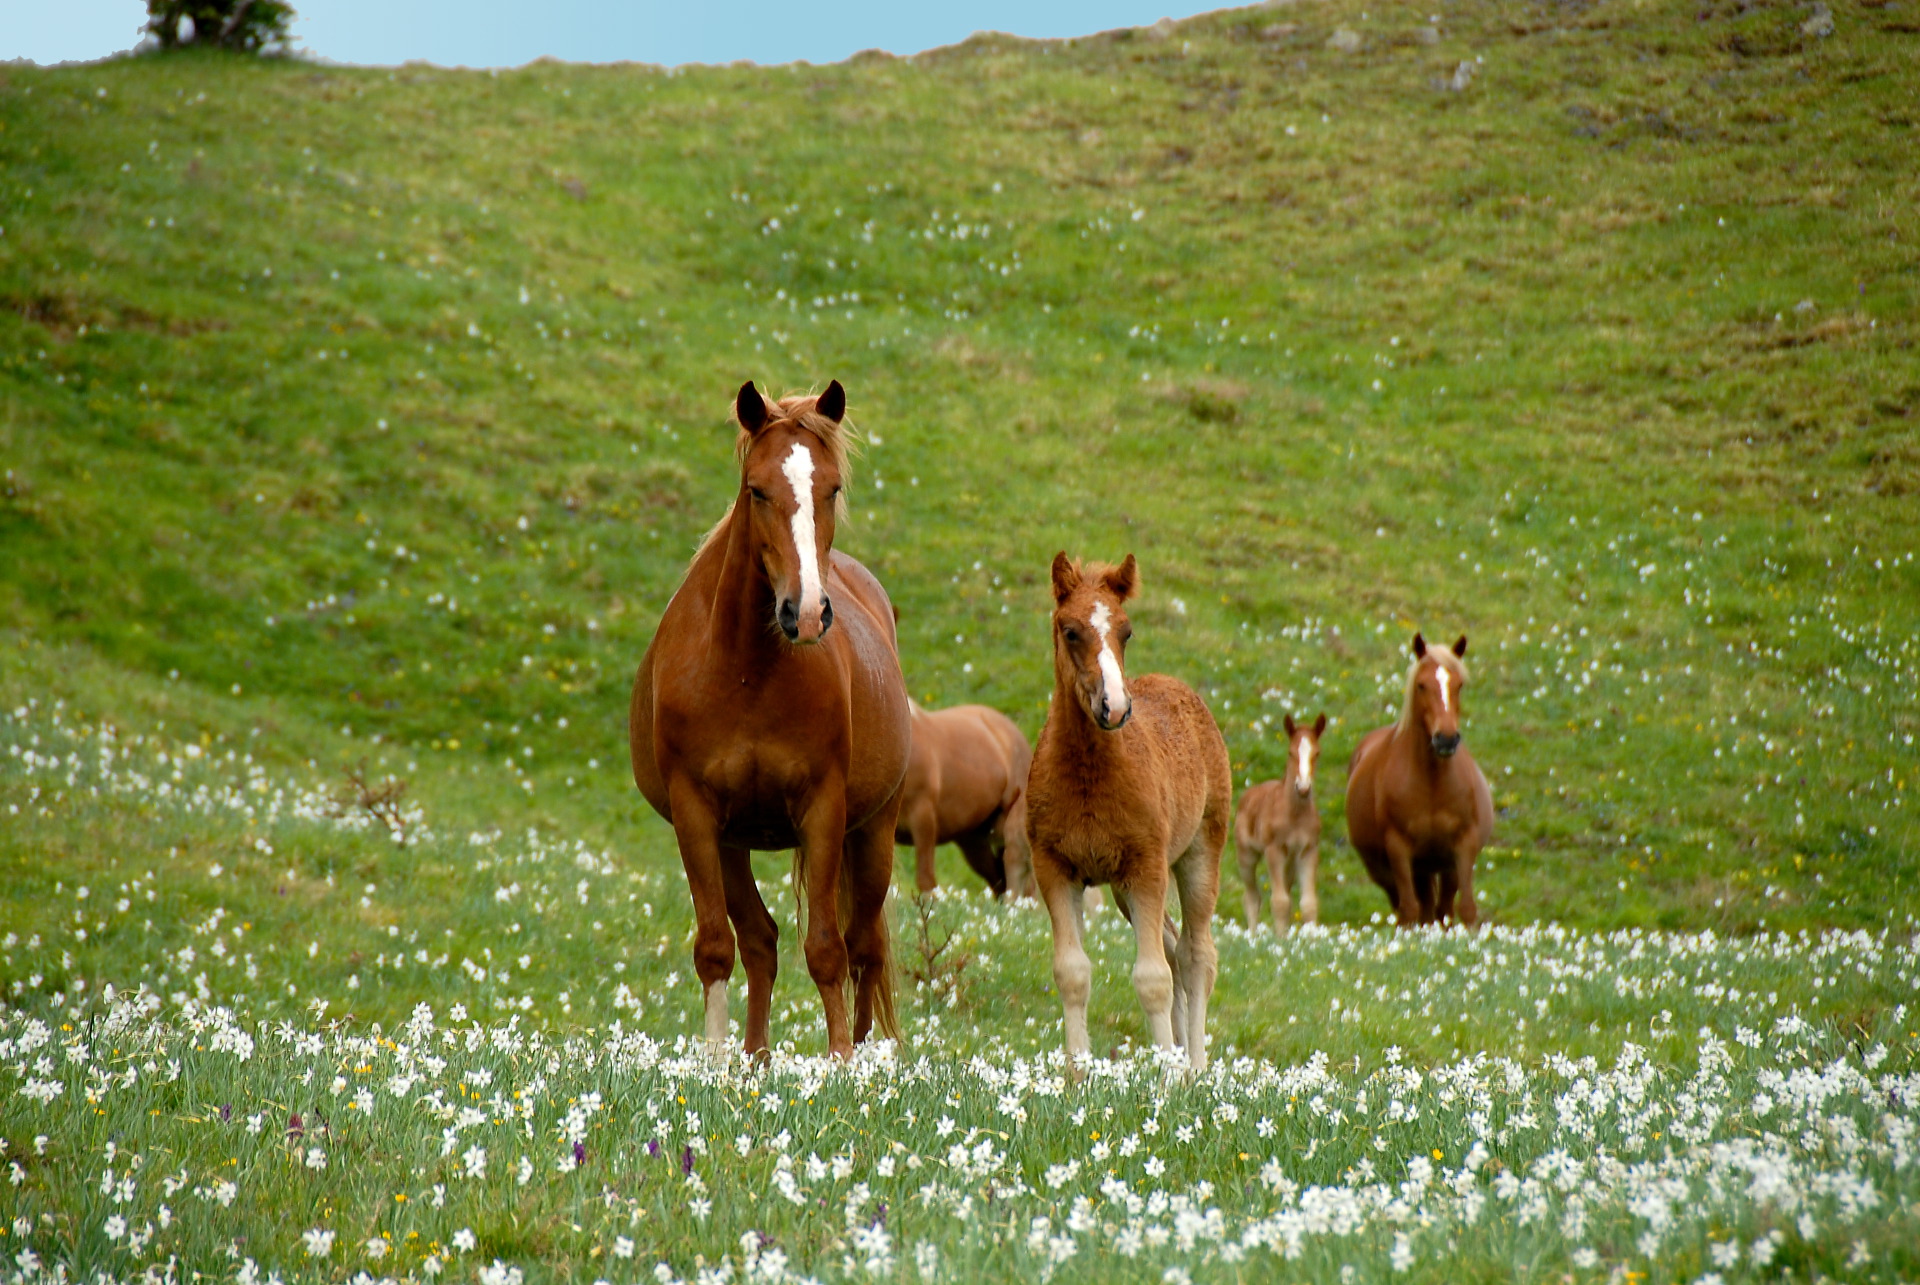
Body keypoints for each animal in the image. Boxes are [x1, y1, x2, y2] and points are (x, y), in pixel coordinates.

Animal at [622, 376, 906, 1060]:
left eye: (832, 488)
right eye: (757, 490)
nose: (805, 612)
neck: (747, 670)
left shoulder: (824, 809)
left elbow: (827, 950)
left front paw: (840, 1063)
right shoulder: (697, 815)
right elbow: (717, 947)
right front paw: (716, 1065)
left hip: (875, 831)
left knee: (864, 947)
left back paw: (861, 1055)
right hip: (733, 841)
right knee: (760, 942)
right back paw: (752, 1059)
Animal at [1021, 557, 1228, 1067]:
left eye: (1127, 631)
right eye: (1070, 631)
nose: (1114, 708)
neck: (1089, 775)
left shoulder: (1146, 867)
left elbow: (1152, 979)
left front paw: (1168, 1077)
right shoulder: (1055, 868)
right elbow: (1072, 972)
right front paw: (1075, 1076)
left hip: (1198, 853)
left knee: (1195, 955)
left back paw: (1195, 1067)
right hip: (1120, 887)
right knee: (1174, 947)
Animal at [1236, 706, 1328, 937]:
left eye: (1317, 753)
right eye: (1290, 752)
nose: (1303, 788)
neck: (1295, 815)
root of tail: (1248, 794)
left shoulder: (1308, 851)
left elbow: (1308, 903)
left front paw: (1311, 939)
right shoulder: (1274, 850)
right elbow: (1279, 901)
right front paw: (1279, 940)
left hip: (1290, 862)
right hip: (1246, 855)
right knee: (1252, 897)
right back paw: (1252, 936)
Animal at [1344, 633, 1489, 925]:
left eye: (1459, 685)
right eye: (1421, 685)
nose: (1446, 738)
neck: (1432, 781)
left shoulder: (1464, 845)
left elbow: (1466, 908)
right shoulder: (1399, 849)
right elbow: (1409, 910)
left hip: (1440, 867)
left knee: (1440, 909)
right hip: (1390, 871)